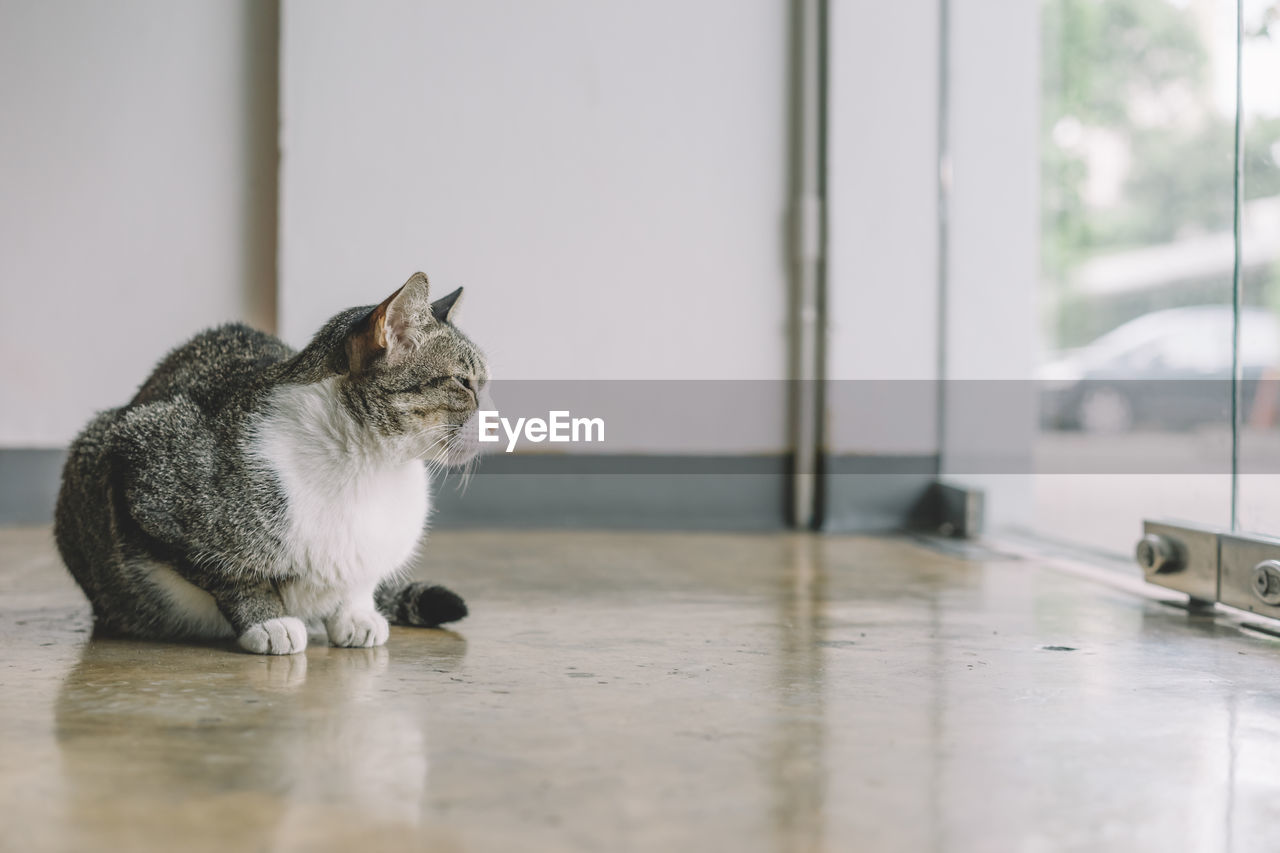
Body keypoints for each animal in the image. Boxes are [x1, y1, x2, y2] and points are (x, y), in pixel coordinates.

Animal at [55, 270, 486, 650]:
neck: (370, 465)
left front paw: (356, 613)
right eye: (464, 383)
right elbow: (230, 573)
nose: (494, 423)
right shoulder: (143, 469)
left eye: (483, 382)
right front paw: (269, 620)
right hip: (93, 451)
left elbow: (361, 578)